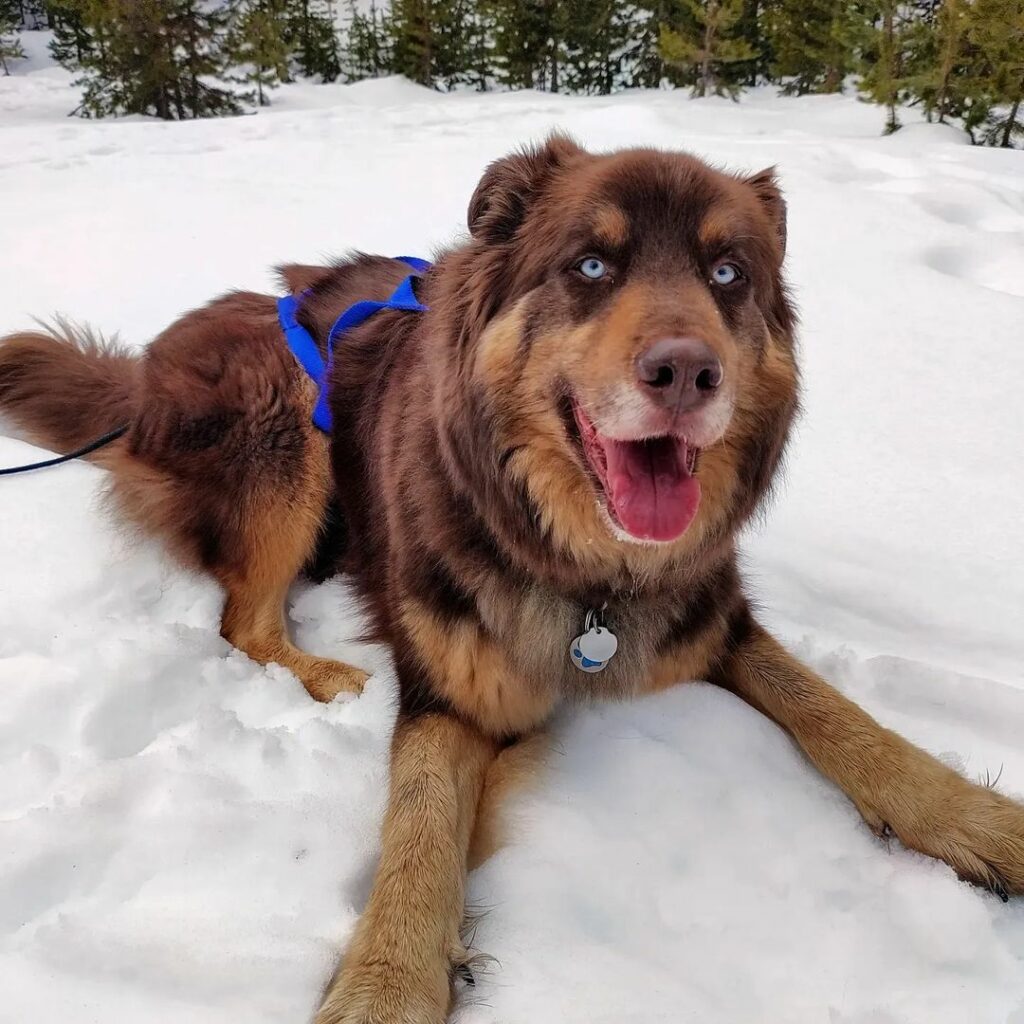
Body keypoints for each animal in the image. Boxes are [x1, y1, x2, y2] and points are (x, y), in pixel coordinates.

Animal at [2, 138, 1024, 1024]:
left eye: (729, 274)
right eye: (591, 265)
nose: (687, 372)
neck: (585, 570)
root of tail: (144, 374)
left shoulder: (707, 620)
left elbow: (840, 715)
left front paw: (975, 819)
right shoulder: (449, 687)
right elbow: (418, 829)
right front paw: (385, 985)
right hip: (288, 426)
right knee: (243, 622)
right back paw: (334, 676)